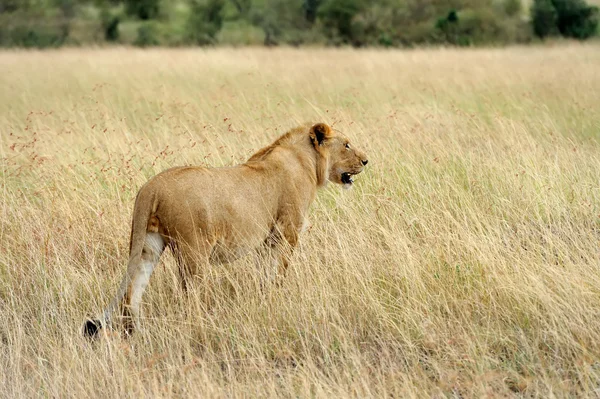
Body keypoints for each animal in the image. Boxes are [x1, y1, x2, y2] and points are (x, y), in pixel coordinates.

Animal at [82, 122, 368, 338]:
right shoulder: (287, 231)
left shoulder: (266, 240)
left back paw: (136, 334)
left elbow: (264, 275)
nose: (366, 161)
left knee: (132, 293)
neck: (307, 161)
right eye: (346, 144)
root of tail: (150, 188)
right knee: (188, 297)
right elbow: (279, 272)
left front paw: (263, 301)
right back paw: (199, 328)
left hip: (147, 246)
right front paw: (278, 297)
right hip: (193, 251)